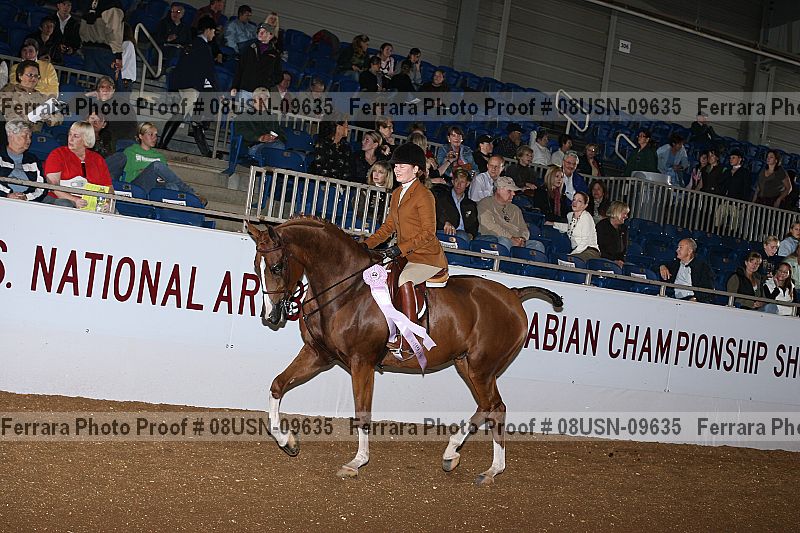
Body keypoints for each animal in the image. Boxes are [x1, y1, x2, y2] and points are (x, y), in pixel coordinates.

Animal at [247, 216, 563, 485]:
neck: (347, 289)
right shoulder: (318, 353)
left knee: (494, 407)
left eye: (276, 267)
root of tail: (513, 295)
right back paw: (460, 458)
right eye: (256, 266)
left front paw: (356, 463)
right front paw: (287, 441)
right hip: (468, 365)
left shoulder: (362, 362)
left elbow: (362, 413)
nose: (270, 315)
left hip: (481, 367)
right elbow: (278, 385)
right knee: (490, 407)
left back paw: (484, 467)